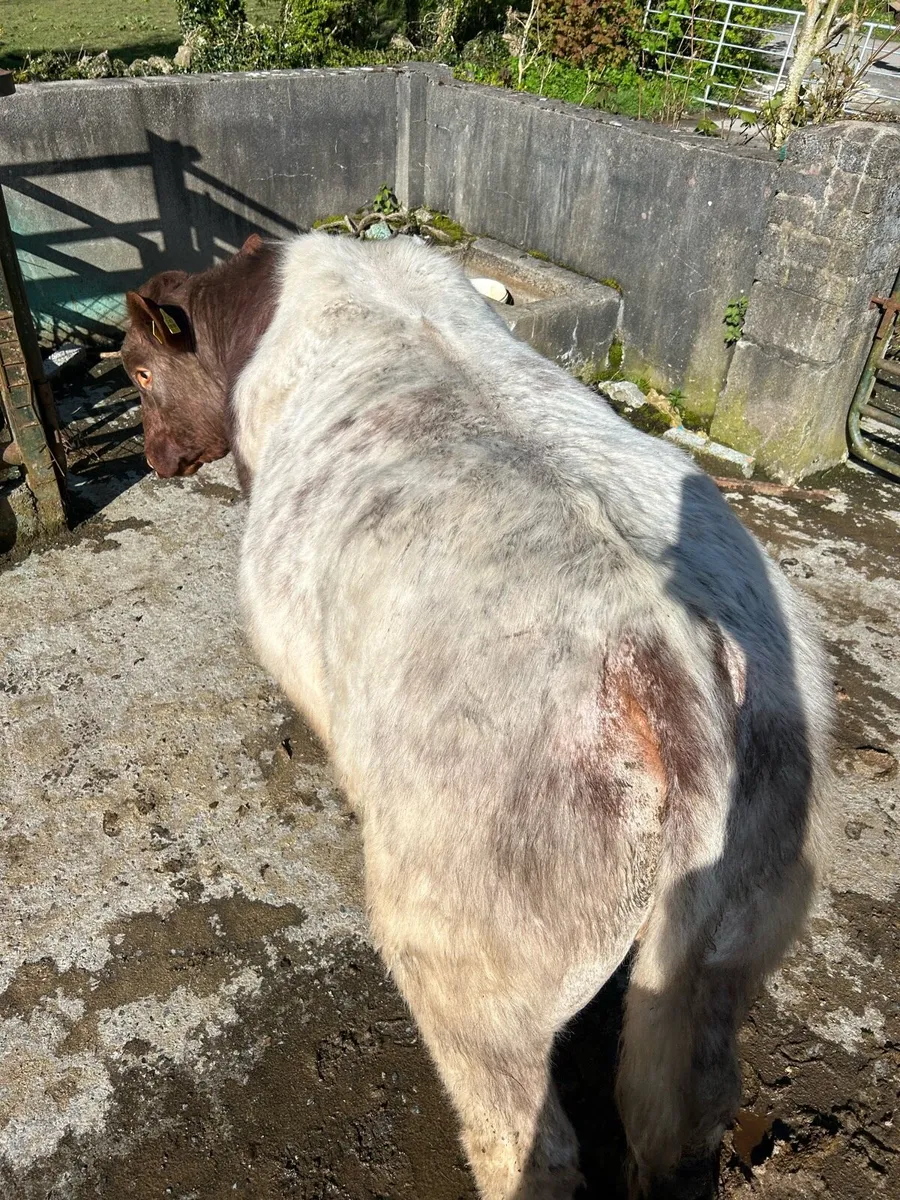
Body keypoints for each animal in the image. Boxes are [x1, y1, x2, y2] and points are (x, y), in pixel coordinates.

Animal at [122, 231, 833, 1200]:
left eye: (139, 372)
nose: (154, 460)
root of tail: (671, 655)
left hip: (469, 947)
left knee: (529, 1139)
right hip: (746, 921)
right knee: (692, 1105)